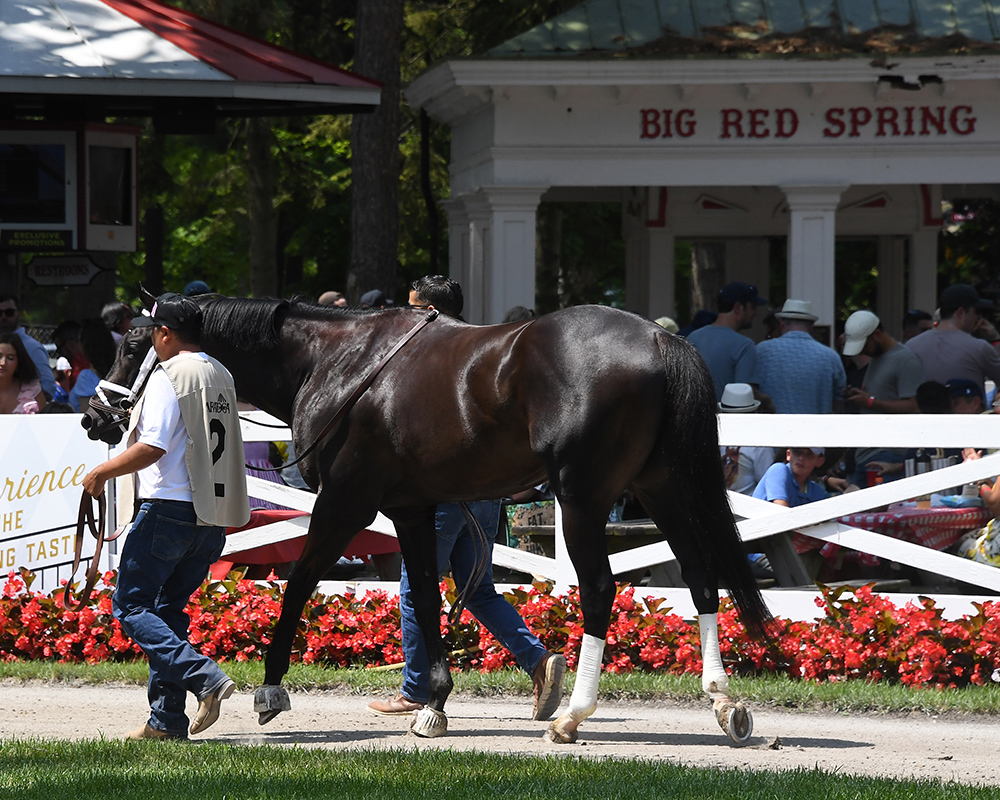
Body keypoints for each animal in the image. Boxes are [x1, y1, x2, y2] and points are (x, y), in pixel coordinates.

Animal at [86, 294, 772, 744]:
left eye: (133, 343)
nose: (94, 419)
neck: (335, 361)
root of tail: (661, 339)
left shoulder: (347, 498)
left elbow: (301, 580)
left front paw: (271, 688)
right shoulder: (413, 507)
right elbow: (422, 589)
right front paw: (433, 704)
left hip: (584, 498)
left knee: (601, 588)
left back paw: (572, 717)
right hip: (662, 488)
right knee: (702, 578)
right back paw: (724, 704)